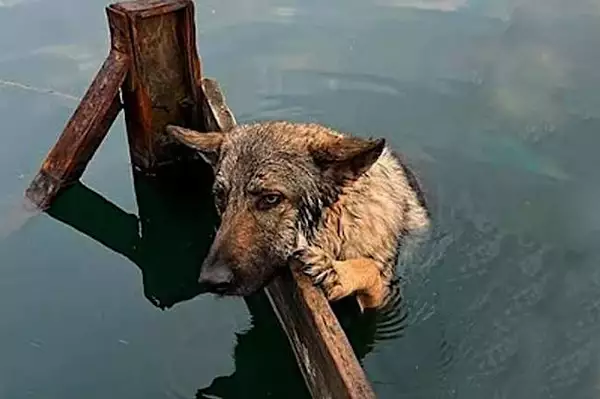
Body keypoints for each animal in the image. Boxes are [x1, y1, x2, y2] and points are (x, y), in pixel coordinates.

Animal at [166, 121, 428, 310]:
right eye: (220, 196)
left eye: (270, 199)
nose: (210, 280)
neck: (337, 227)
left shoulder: (384, 299)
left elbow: (370, 269)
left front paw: (336, 272)